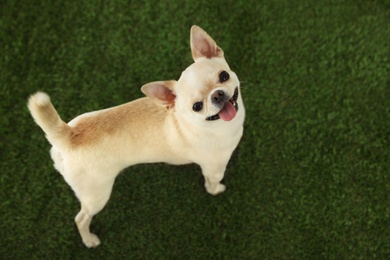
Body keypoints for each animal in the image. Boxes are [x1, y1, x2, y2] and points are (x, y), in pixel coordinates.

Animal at [28, 25, 244, 248]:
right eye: (197, 106)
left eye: (224, 76)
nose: (217, 95)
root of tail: (69, 136)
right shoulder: (214, 168)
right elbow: (212, 181)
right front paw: (215, 190)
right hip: (97, 195)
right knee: (81, 218)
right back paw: (89, 240)